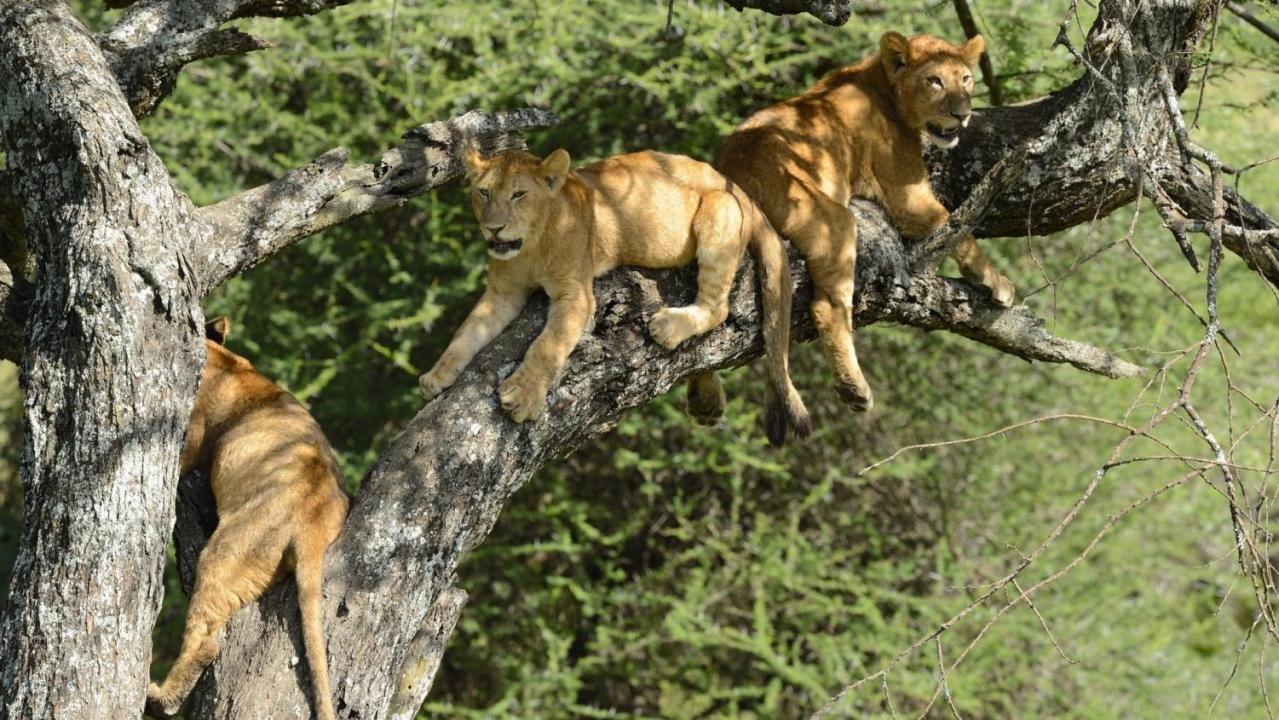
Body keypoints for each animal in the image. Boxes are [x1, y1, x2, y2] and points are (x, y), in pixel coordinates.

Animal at [147, 319, 350, 720]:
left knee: (206, 638)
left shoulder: (189, 439)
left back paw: (160, 697)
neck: (229, 361)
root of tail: (314, 525)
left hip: (228, 551)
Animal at [424, 146, 813, 445]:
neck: (530, 246)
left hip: (719, 209)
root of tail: (736, 188)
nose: (494, 229)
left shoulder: (577, 295)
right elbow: (465, 333)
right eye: (484, 193)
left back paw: (670, 327)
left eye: (518, 195)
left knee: (718, 308)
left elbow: (547, 345)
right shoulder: (502, 293)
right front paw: (437, 375)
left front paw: (523, 394)